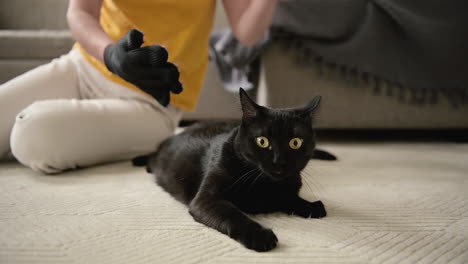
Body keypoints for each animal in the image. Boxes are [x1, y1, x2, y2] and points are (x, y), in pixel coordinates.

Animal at [133, 88, 334, 252]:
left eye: (295, 143)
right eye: (262, 141)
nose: (279, 162)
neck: (263, 183)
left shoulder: (288, 186)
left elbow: (288, 197)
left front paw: (310, 205)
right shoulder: (206, 199)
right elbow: (232, 213)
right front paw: (259, 235)